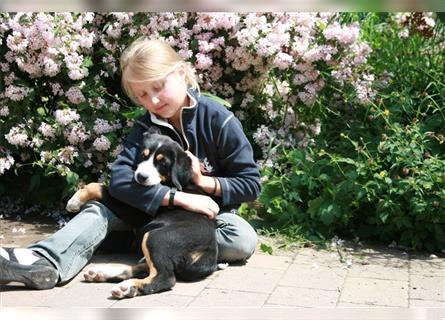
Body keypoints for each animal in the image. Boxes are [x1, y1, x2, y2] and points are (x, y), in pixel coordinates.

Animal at [65, 129, 217, 298]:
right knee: (145, 268)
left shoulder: (133, 210)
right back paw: (102, 274)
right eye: (143, 156)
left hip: (156, 237)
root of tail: (208, 252)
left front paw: (74, 201)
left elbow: (97, 186)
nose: (141, 177)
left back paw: (129, 287)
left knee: (164, 277)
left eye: (162, 162)